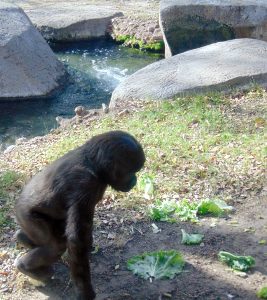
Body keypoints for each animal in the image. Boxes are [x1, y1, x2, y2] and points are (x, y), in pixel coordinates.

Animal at [14, 131, 146, 300]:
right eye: (130, 172)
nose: (135, 180)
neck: (95, 165)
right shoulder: (84, 183)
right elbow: (76, 241)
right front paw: (85, 292)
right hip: (27, 216)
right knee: (55, 245)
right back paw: (25, 267)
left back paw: (22, 238)